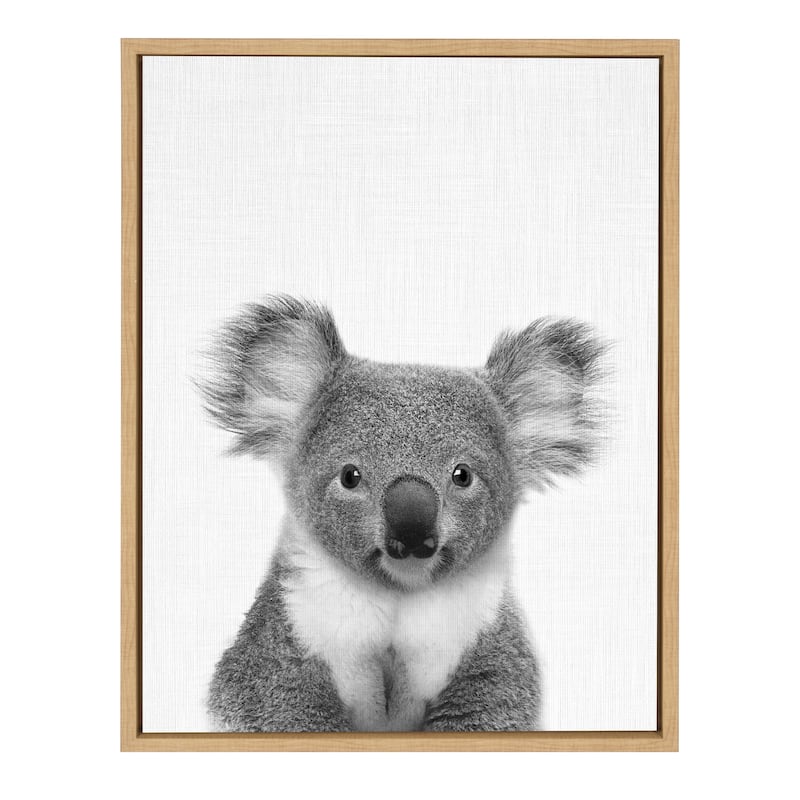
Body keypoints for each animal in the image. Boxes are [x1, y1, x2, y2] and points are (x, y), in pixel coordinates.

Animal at [198, 295, 606, 732]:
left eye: (462, 475)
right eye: (350, 476)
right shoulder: (286, 640)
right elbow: (280, 703)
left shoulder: (485, 646)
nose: (411, 533)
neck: (400, 595)